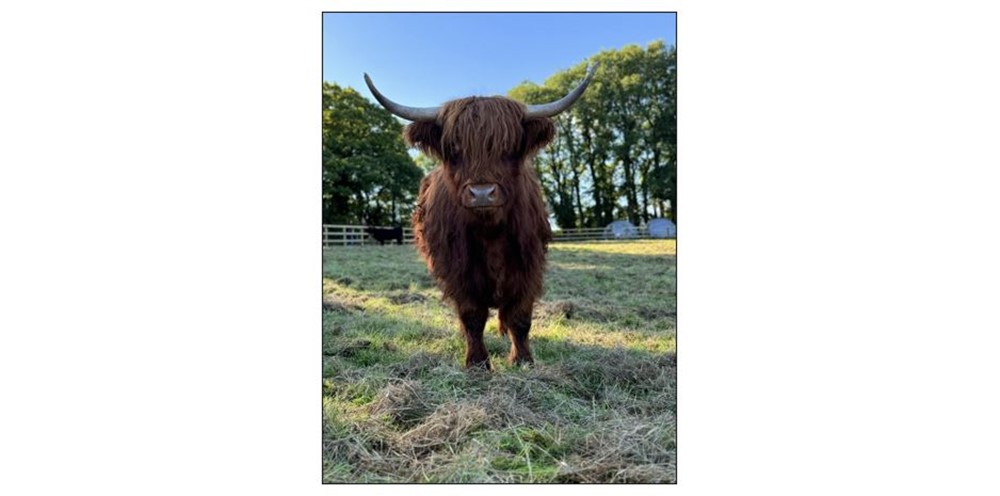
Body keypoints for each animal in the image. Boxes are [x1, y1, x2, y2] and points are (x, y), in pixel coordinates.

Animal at [364, 64, 597, 369]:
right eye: (454, 150)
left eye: (508, 147)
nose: (482, 193)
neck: (491, 233)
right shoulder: (458, 270)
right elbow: (473, 316)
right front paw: (477, 363)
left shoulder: (527, 266)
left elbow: (520, 317)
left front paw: (523, 360)